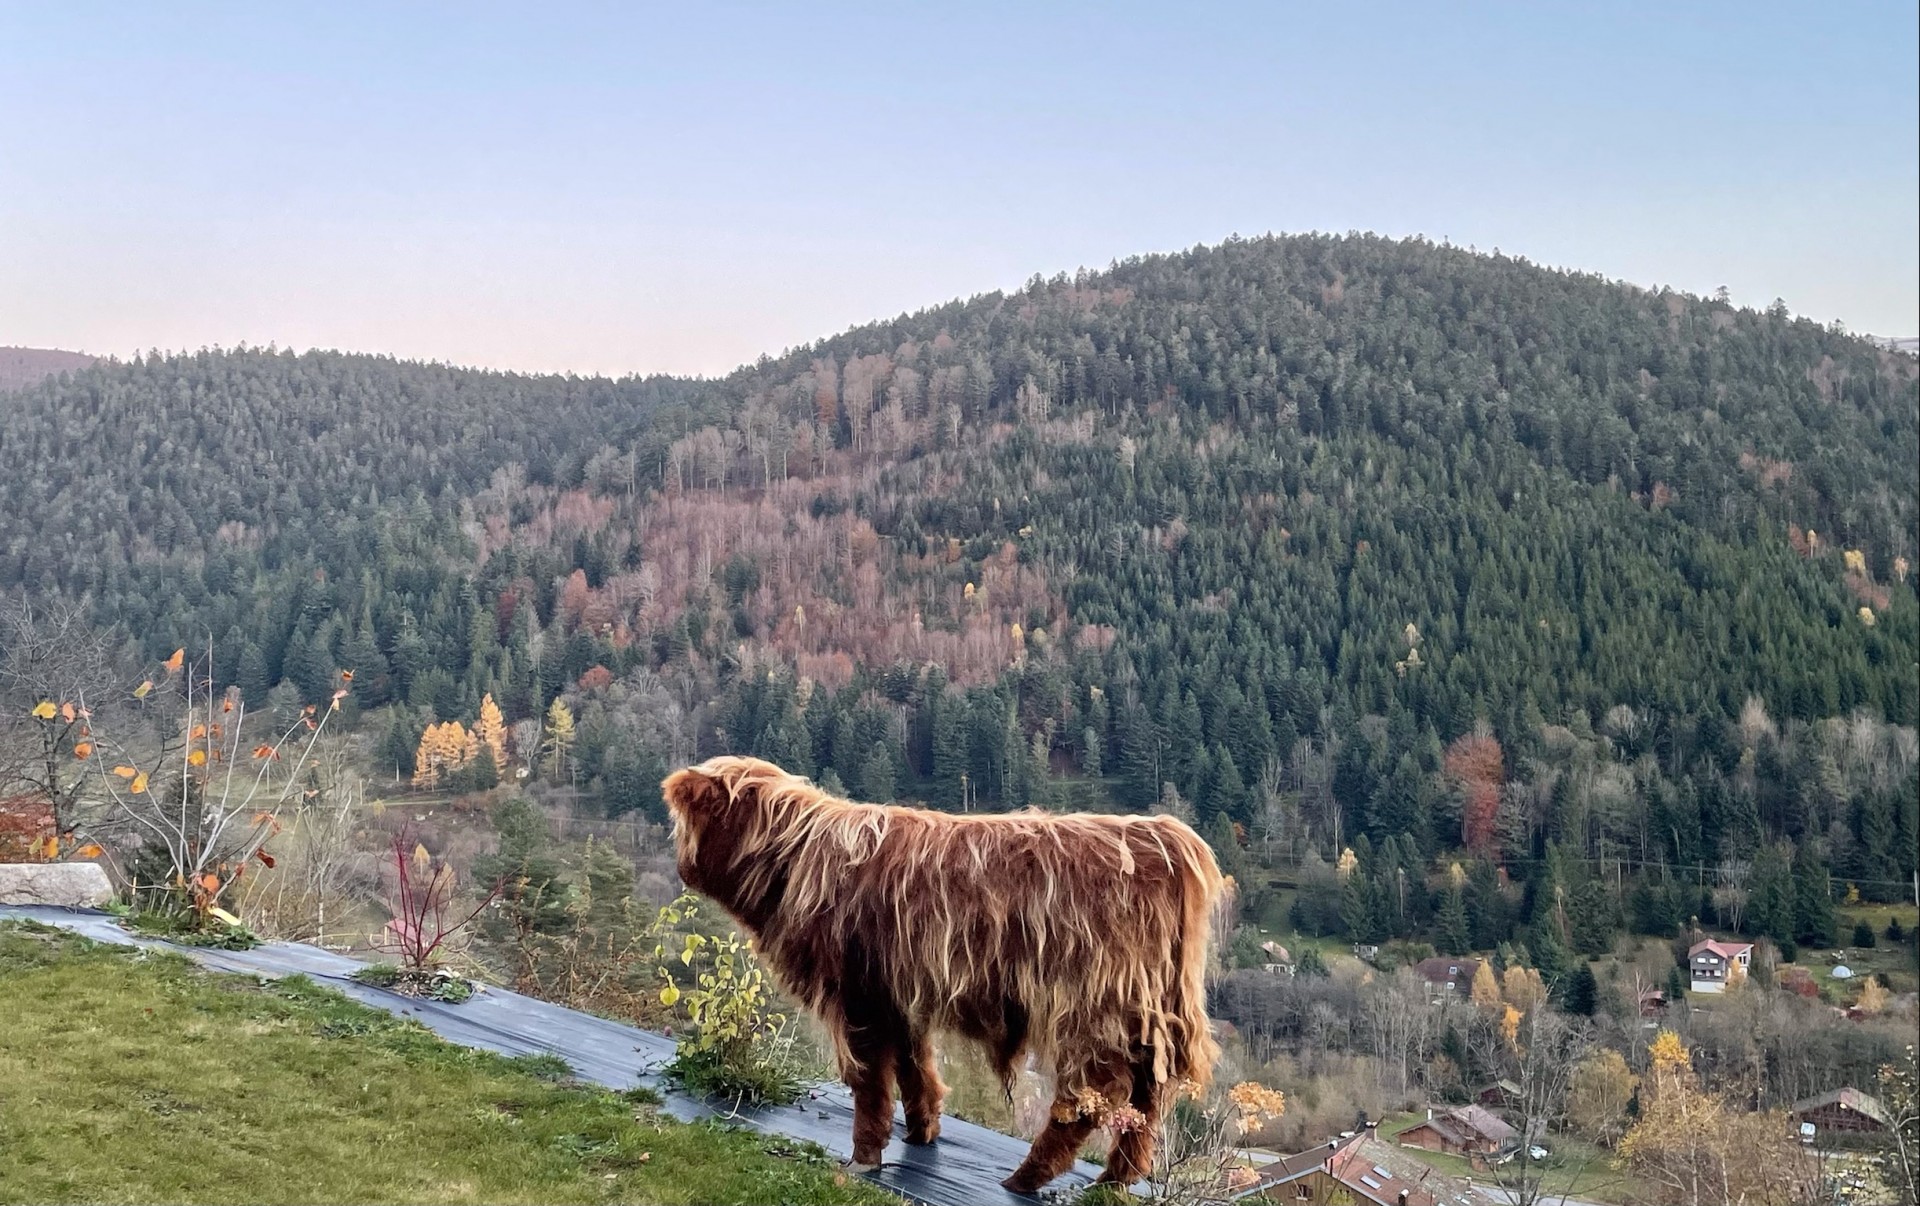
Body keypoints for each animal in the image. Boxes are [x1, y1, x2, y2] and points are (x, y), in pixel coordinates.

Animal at [664, 756, 1228, 1190]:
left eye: (687, 821)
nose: (681, 868)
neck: (796, 862)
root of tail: (1163, 836)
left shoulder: (859, 996)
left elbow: (870, 1082)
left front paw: (863, 1158)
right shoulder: (897, 995)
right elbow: (915, 1068)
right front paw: (922, 1133)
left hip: (1094, 1005)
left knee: (1093, 1093)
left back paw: (1026, 1179)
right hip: (1146, 1013)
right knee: (1147, 1095)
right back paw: (1118, 1178)